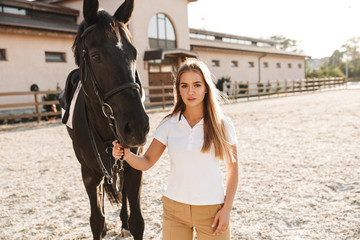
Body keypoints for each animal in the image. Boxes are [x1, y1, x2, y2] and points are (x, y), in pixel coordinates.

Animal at [60, 0, 149, 239]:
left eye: (134, 53)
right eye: (95, 56)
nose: (137, 127)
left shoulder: (134, 166)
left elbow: (138, 221)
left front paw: (129, 222)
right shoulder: (90, 174)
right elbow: (96, 221)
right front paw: (104, 224)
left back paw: (123, 222)